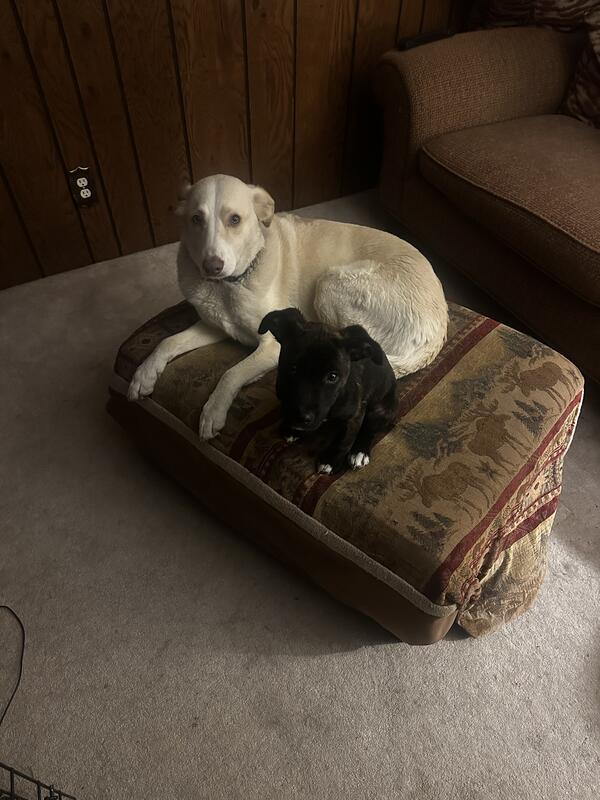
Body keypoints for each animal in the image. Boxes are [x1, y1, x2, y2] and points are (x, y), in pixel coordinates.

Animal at [127, 174, 447, 440]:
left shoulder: (271, 346)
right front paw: (144, 375)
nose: (212, 266)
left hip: (329, 283)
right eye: (196, 219)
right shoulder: (212, 326)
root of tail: (440, 324)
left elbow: (232, 372)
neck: (228, 286)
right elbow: (167, 342)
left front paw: (213, 412)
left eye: (235, 219)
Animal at [259, 308, 398, 474]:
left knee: (370, 428)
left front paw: (329, 460)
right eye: (293, 368)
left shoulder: (355, 415)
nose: (301, 417)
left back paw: (359, 452)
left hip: (381, 409)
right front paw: (291, 429)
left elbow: (344, 440)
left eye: (332, 376)